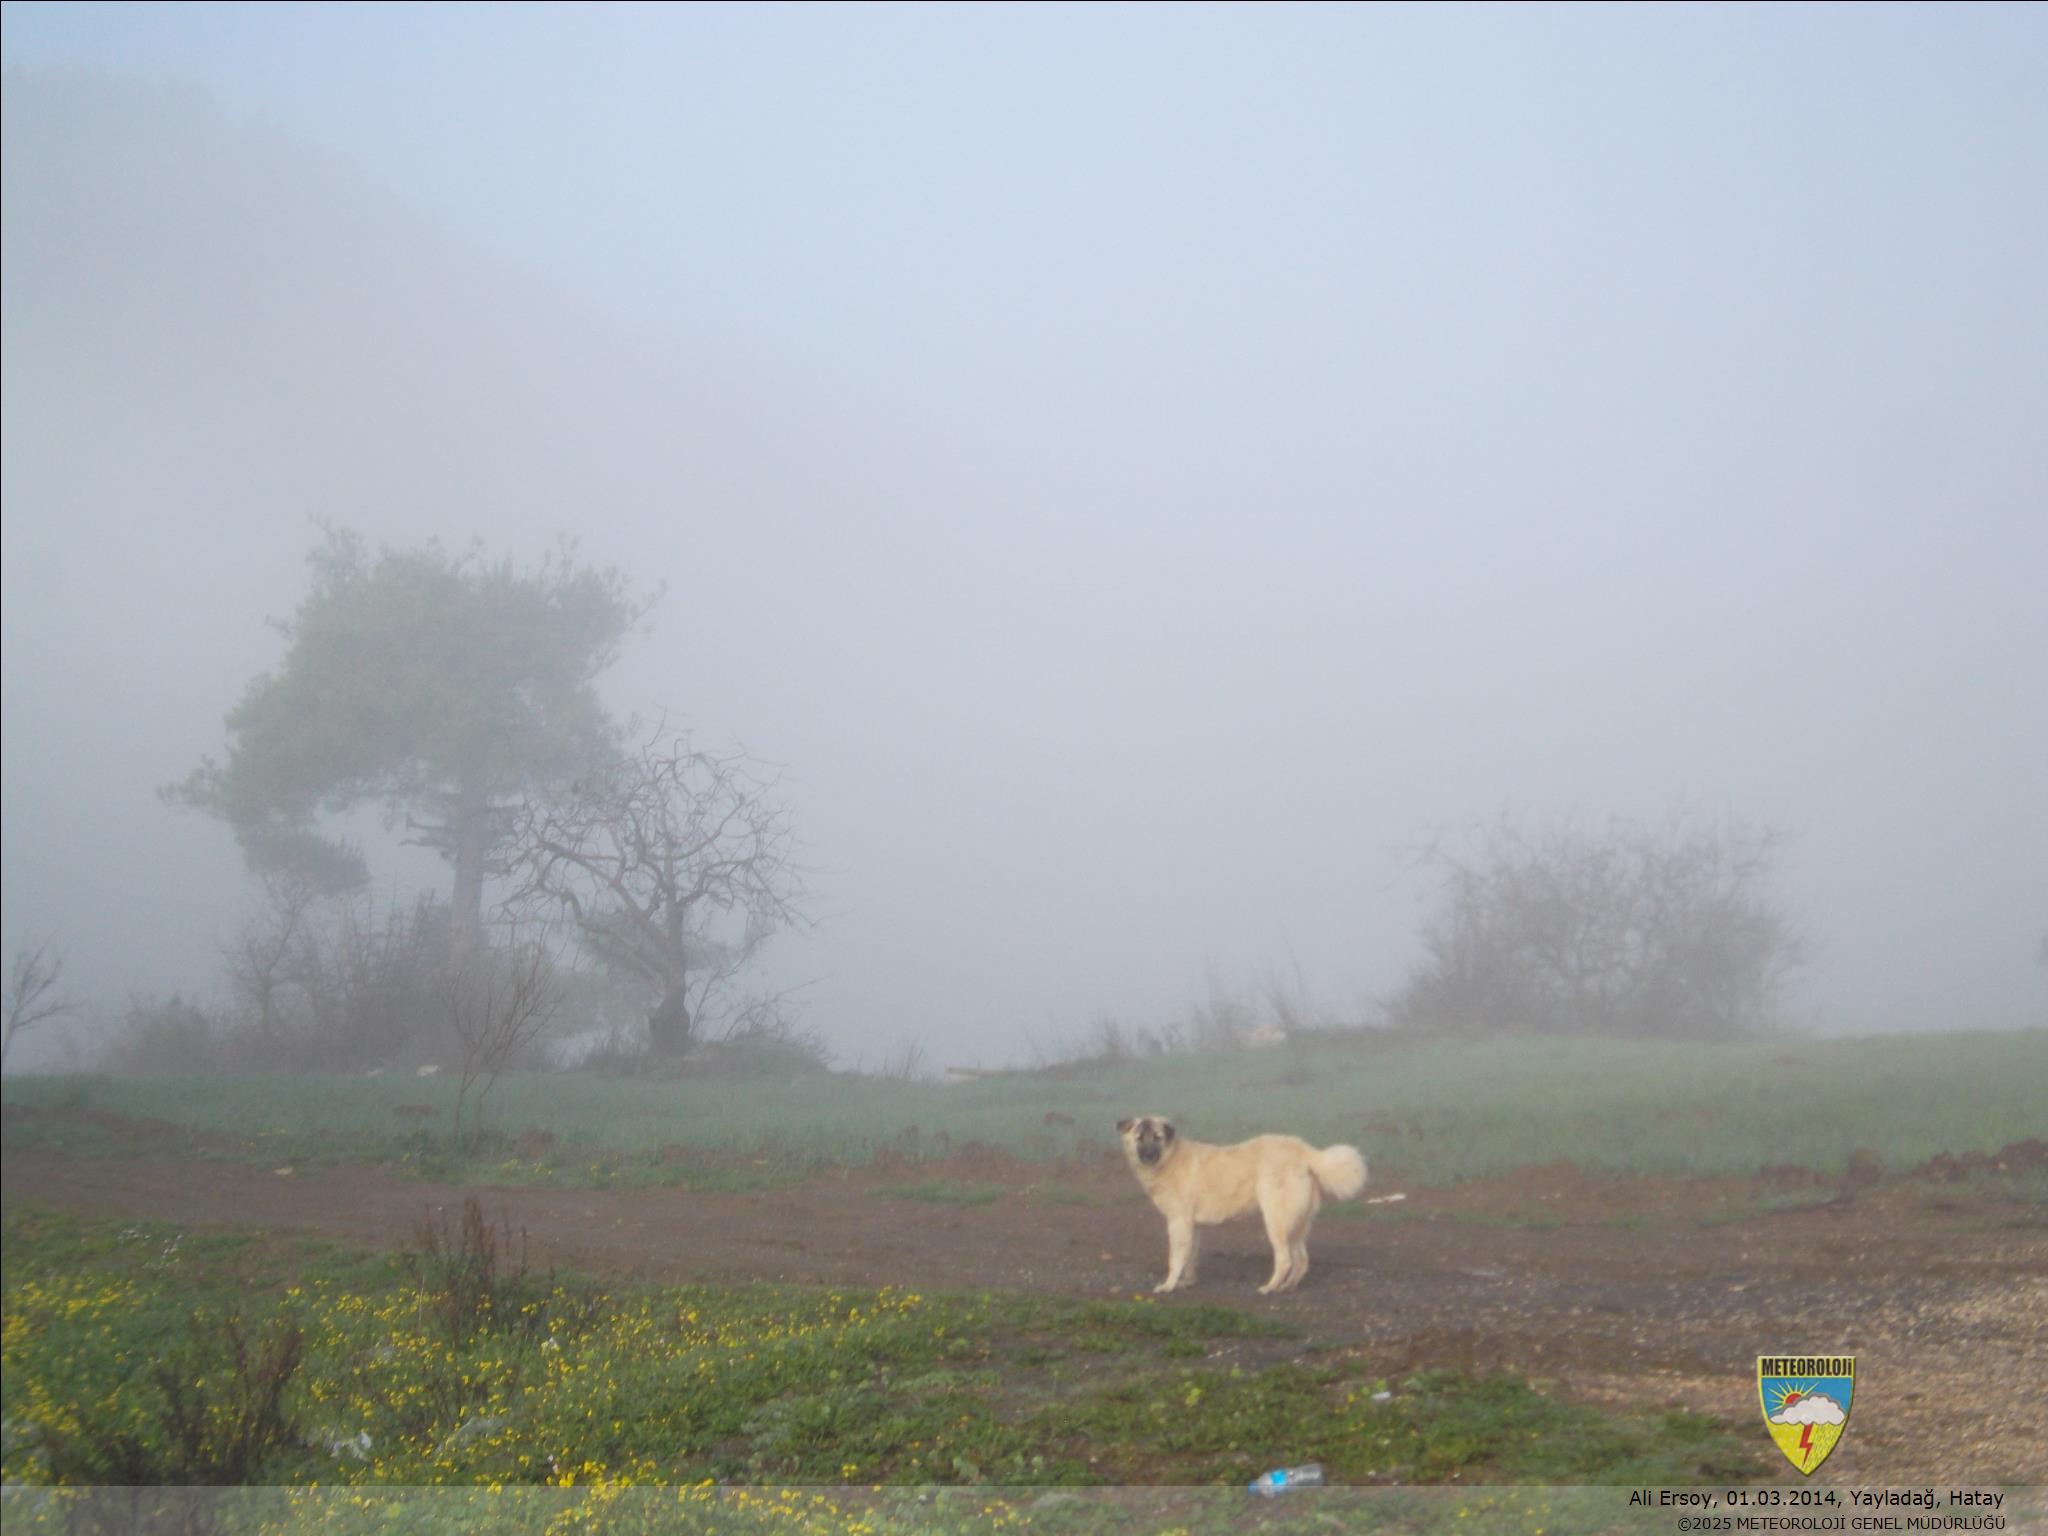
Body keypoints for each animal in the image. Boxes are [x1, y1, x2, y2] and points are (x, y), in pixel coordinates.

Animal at [1118, 1115, 1367, 1294]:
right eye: (1139, 1138)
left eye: (1157, 1137)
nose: (1148, 1156)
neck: (1169, 1159)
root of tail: (1302, 1149)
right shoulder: (1192, 1226)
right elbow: (1190, 1258)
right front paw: (1188, 1282)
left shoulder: (1178, 1222)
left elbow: (1176, 1258)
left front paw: (1168, 1285)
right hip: (1296, 1225)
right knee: (1302, 1260)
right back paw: (1287, 1287)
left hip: (1276, 1221)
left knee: (1285, 1259)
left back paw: (1270, 1287)